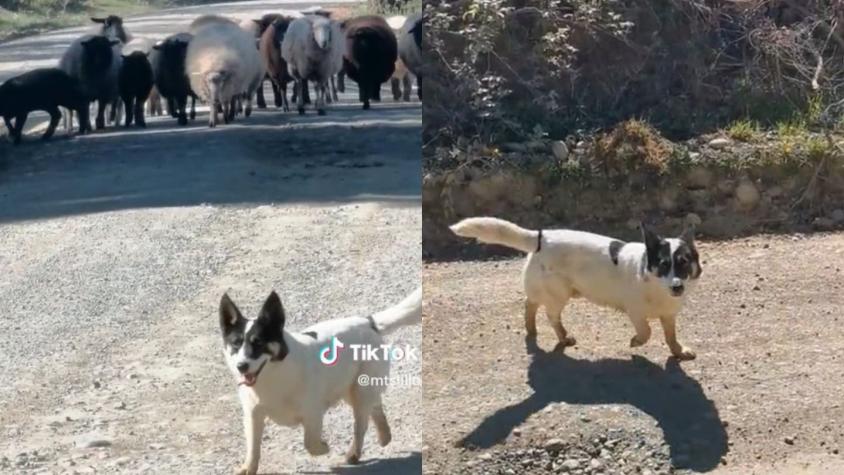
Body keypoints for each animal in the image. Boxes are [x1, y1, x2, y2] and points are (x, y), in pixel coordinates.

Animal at [221, 284, 422, 474]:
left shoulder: (313, 414)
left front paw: (324, 448)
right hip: (352, 390)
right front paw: (248, 468)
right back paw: (384, 435)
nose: (241, 366)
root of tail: (367, 322)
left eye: (258, 343)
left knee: (361, 424)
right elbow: (253, 447)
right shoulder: (252, 415)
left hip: (360, 391)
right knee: (375, 406)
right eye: (236, 344)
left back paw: (354, 453)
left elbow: (310, 442)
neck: (274, 375)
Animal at [452, 218, 704, 360]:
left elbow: (671, 336)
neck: (655, 283)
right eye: (664, 264)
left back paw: (531, 328)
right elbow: (646, 332)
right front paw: (636, 342)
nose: (677, 287)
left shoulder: (669, 316)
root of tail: (542, 237)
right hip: (558, 294)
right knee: (549, 314)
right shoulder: (636, 313)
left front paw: (678, 351)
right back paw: (562, 337)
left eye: (684, 263)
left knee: (530, 303)